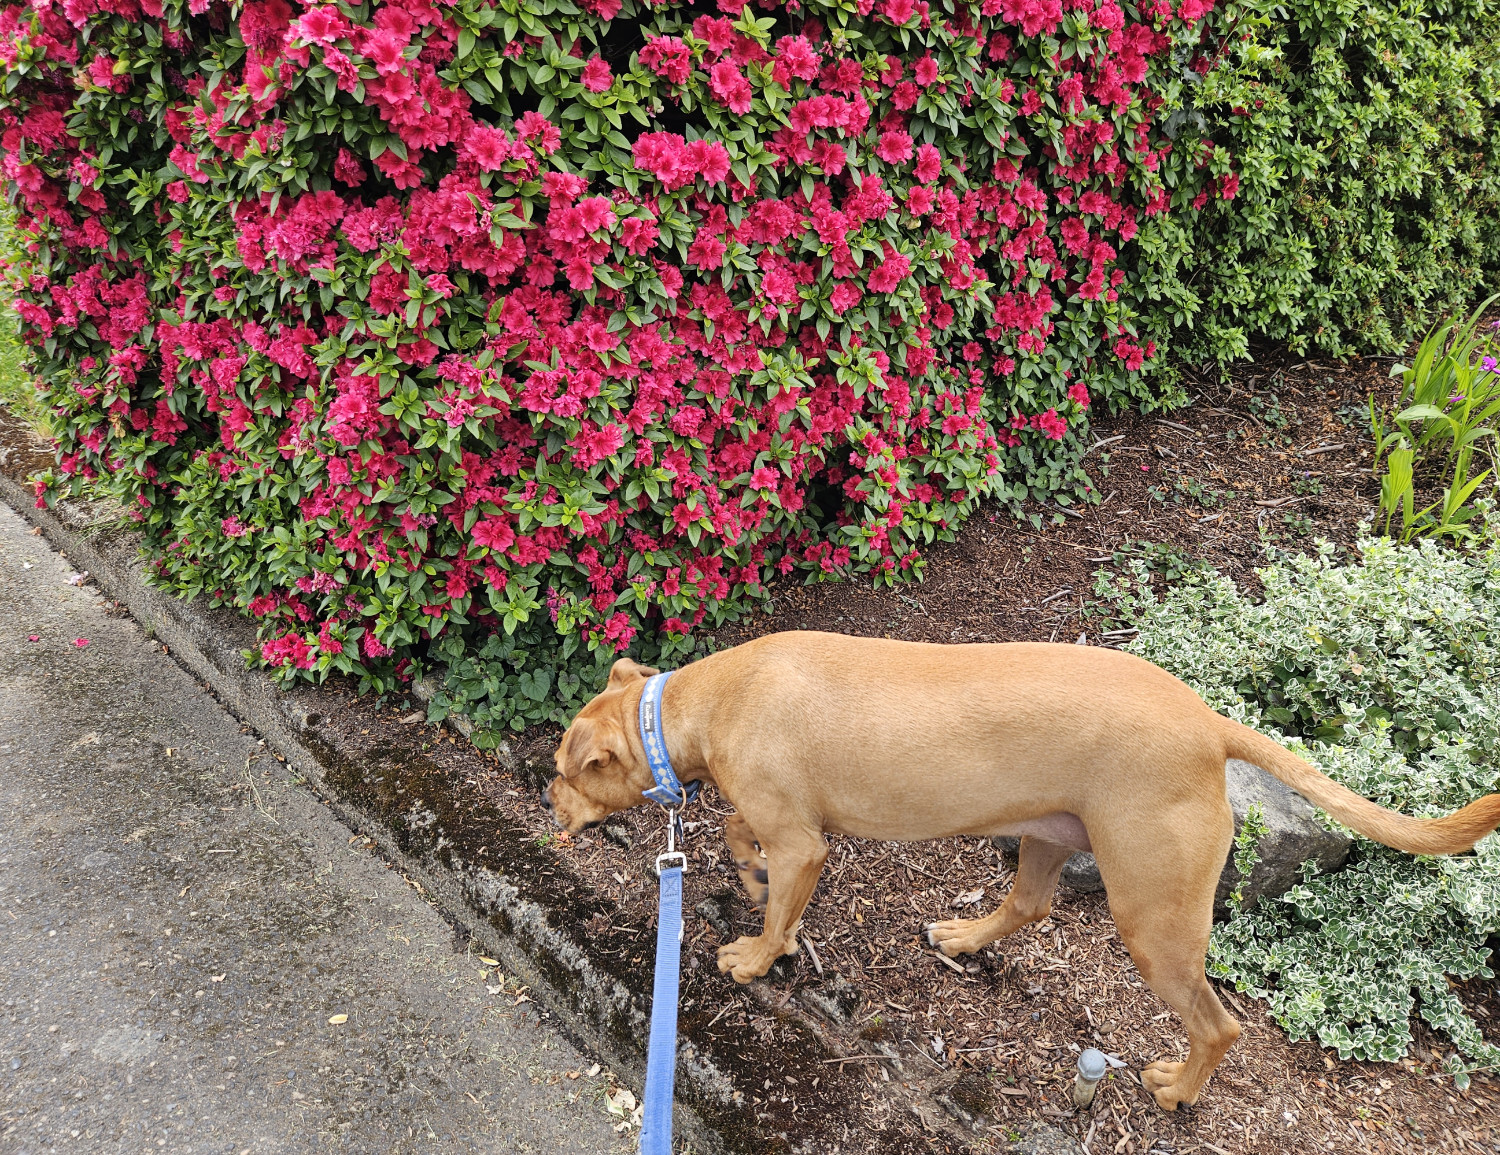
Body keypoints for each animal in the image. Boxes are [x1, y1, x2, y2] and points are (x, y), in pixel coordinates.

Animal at [549, 630, 1500, 1104]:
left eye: (565, 771)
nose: (545, 801)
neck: (696, 703)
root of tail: (1208, 723)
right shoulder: (782, 825)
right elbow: (742, 839)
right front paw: (747, 878)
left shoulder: (804, 841)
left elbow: (778, 904)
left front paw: (754, 955)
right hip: (1049, 835)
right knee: (1029, 907)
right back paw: (965, 937)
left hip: (1152, 918)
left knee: (1220, 1025)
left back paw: (1176, 1089)